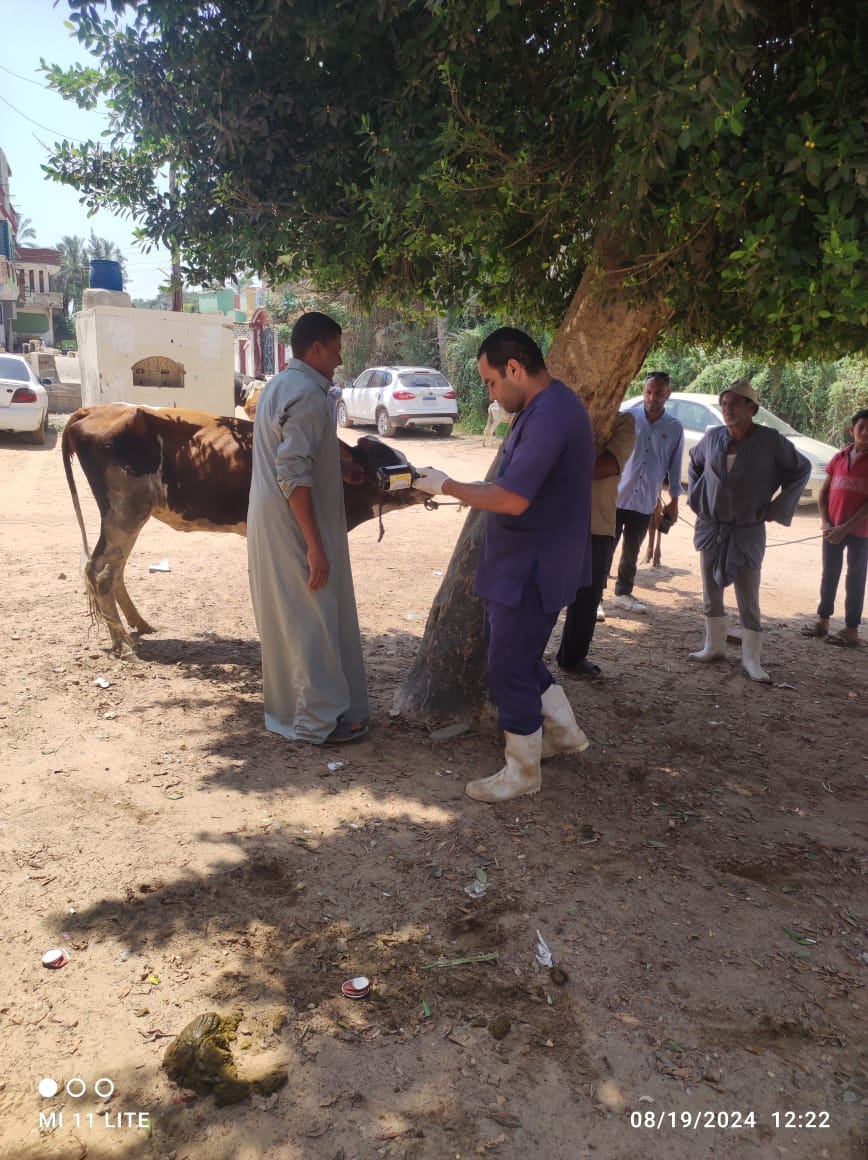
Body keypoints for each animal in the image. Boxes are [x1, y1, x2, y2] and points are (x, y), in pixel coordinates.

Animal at [61, 401, 424, 654]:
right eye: (384, 463)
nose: (421, 476)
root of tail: (94, 409)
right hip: (125, 511)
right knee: (101, 572)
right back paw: (123, 644)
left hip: (128, 515)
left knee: (113, 570)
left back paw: (138, 626)